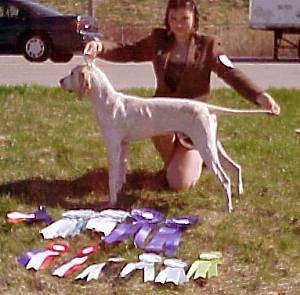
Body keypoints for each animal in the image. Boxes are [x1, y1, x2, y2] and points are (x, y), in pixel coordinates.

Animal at [59, 63, 270, 213]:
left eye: (72, 73)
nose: (60, 81)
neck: (108, 101)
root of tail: (206, 107)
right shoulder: (123, 145)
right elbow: (119, 174)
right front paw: (118, 193)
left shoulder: (113, 145)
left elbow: (112, 177)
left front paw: (110, 202)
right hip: (212, 144)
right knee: (236, 167)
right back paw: (239, 192)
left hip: (205, 148)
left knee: (224, 179)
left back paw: (228, 208)